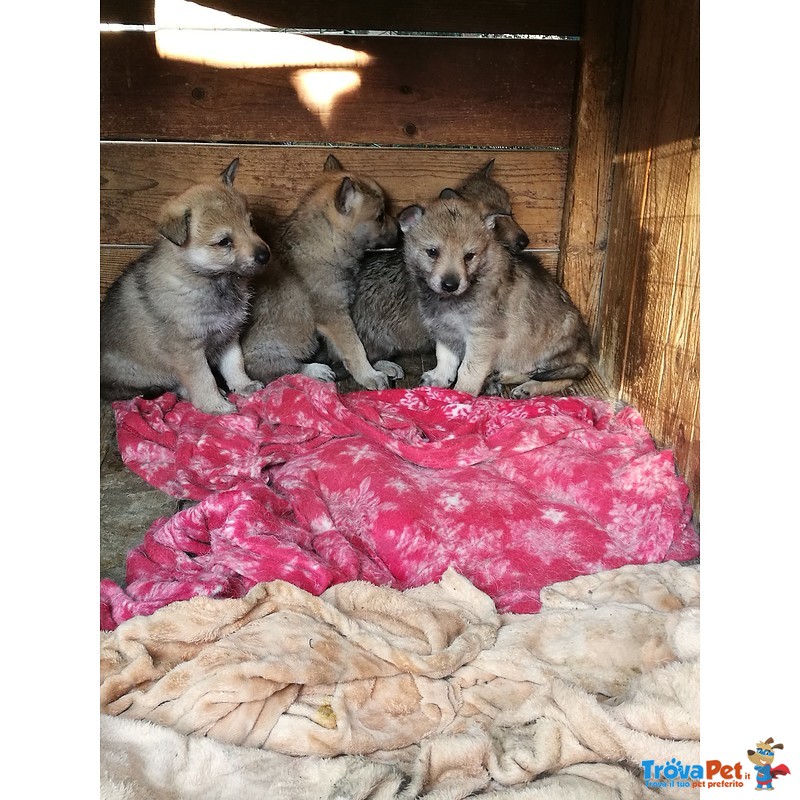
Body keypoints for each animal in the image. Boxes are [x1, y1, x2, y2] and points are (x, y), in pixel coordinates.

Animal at [99, 159, 268, 416]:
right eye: (224, 242)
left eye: (251, 224)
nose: (265, 255)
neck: (213, 281)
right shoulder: (188, 350)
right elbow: (204, 379)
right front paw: (215, 405)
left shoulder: (228, 334)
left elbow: (235, 364)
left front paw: (244, 385)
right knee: (173, 385)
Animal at [242, 154, 406, 390]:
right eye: (380, 216)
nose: (401, 231)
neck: (328, 241)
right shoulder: (334, 316)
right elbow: (355, 348)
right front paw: (369, 375)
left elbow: (348, 349)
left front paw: (376, 367)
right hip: (273, 348)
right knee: (280, 371)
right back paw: (315, 370)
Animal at [400, 191, 592, 396]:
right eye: (432, 252)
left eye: (469, 256)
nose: (450, 285)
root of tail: (586, 353)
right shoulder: (444, 329)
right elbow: (445, 357)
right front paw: (440, 377)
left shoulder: (483, 336)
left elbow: (468, 371)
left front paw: (461, 395)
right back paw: (505, 376)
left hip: (554, 354)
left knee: (559, 377)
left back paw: (528, 388)